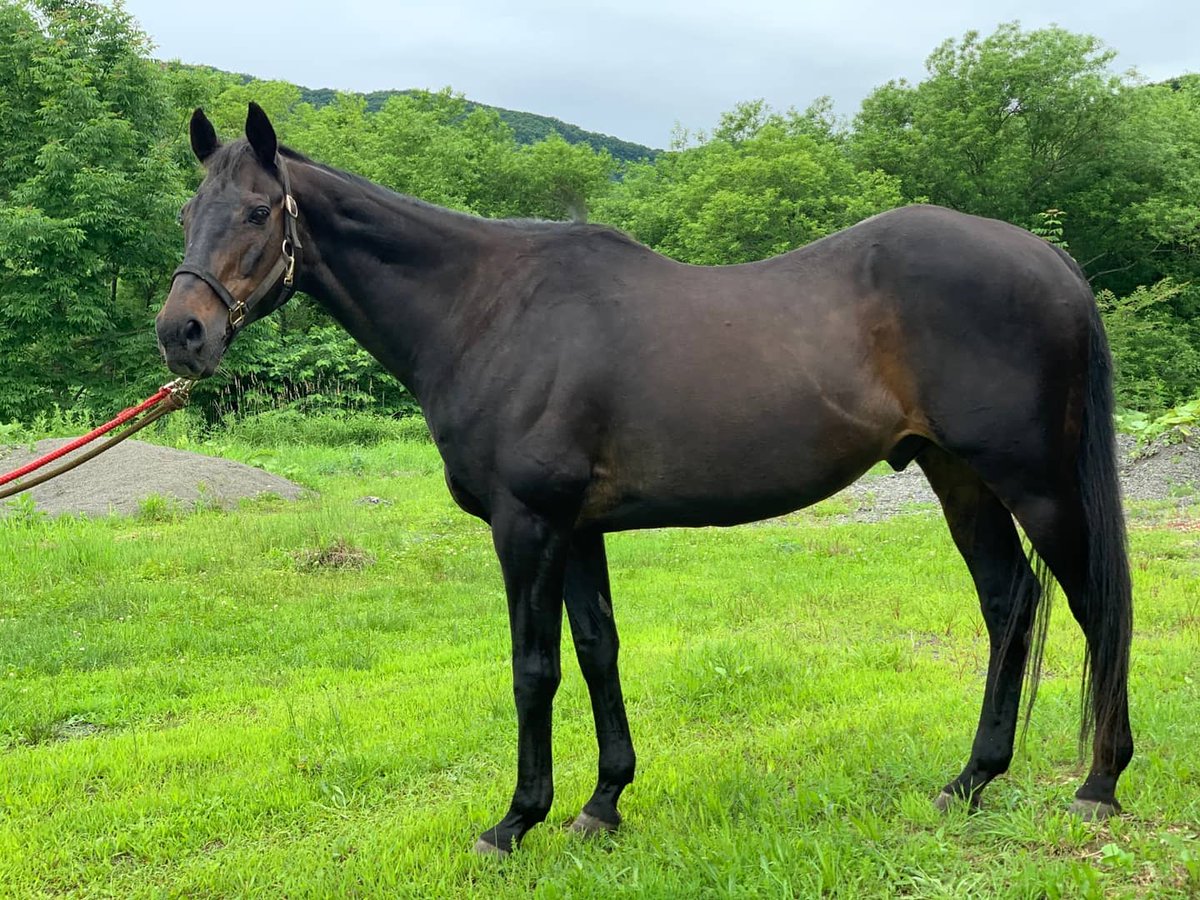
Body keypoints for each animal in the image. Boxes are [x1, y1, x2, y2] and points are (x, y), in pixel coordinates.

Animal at [154, 102, 1128, 854]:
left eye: (256, 212)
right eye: (186, 211)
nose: (181, 334)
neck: (486, 312)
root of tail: (1050, 261)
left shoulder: (528, 525)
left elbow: (534, 667)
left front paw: (515, 820)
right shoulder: (578, 528)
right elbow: (597, 650)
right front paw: (602, 804)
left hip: (1035, 483)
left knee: (1092, 605)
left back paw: (1099, 782)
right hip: (957, 476)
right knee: (1010, 603)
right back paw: (971, 780)